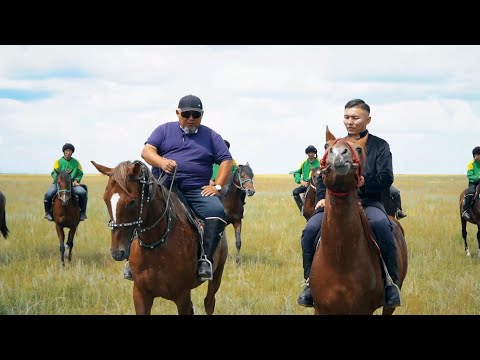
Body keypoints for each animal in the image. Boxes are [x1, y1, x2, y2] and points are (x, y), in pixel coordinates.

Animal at [92, 160, 231, 316]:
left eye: (132, 202)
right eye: (105, 199)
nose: (117, 252)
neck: (154, 245)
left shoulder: (182, 296)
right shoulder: (140, 294)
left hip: (217, 274)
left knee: (209, 302)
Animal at [310, 127, 406, 316]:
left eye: (359, 149)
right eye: (326, 146)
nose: (338, 154)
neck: (340, 259)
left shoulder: (362, 309)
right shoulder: (321, 308)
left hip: (390, 303)